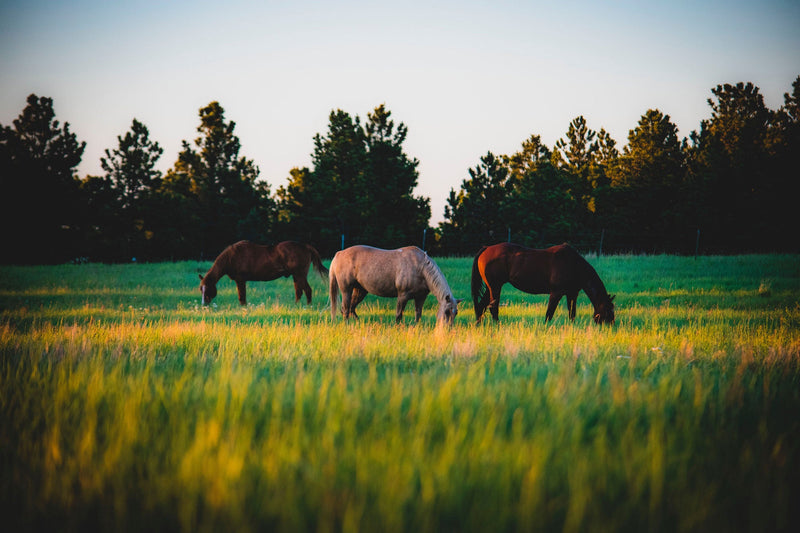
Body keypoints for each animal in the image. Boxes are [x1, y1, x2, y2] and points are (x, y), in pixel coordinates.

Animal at [199, 240, 328, 306]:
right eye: (201, 289)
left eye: (208, 288)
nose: (204, 304)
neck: (232, 257)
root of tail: (306, 246)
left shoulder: (240, 280)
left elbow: (242, 296)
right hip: (296, 276)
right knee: (299, 292)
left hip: (300, 275)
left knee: (307, 290)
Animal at [329, 245, 462, 327]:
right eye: (446, 312)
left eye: (456, 313)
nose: (448, 329)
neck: (420, 268)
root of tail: (339, 254)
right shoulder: (403, 295)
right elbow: (399, 315)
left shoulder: (420, 297)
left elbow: (418, 314)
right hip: (346, 290)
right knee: (346, 309)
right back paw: (347, 326)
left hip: (360, 290)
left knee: (351, 308)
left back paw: (358, 323)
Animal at [472, 242, 615, 325]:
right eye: (609, 309)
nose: (611, 324)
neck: (574, 265)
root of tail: (486, 248)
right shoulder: (556, 293)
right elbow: (549, 314)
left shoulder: (572, 294)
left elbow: (572, 314)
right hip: (495, 287)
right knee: (493, 307)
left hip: (491, 287)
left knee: (481, 306)